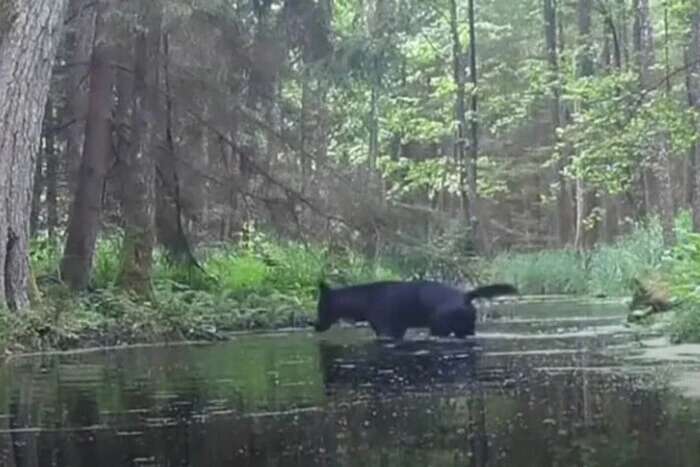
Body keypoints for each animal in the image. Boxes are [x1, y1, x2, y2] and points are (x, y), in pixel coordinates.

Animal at [314, 280, 516, 342]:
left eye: (320, 307)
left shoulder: (386, 330)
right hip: (467, 328)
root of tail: (465, 295)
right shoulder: (397, 330)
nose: (314, 326)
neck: (363, 301)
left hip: (439, 326)